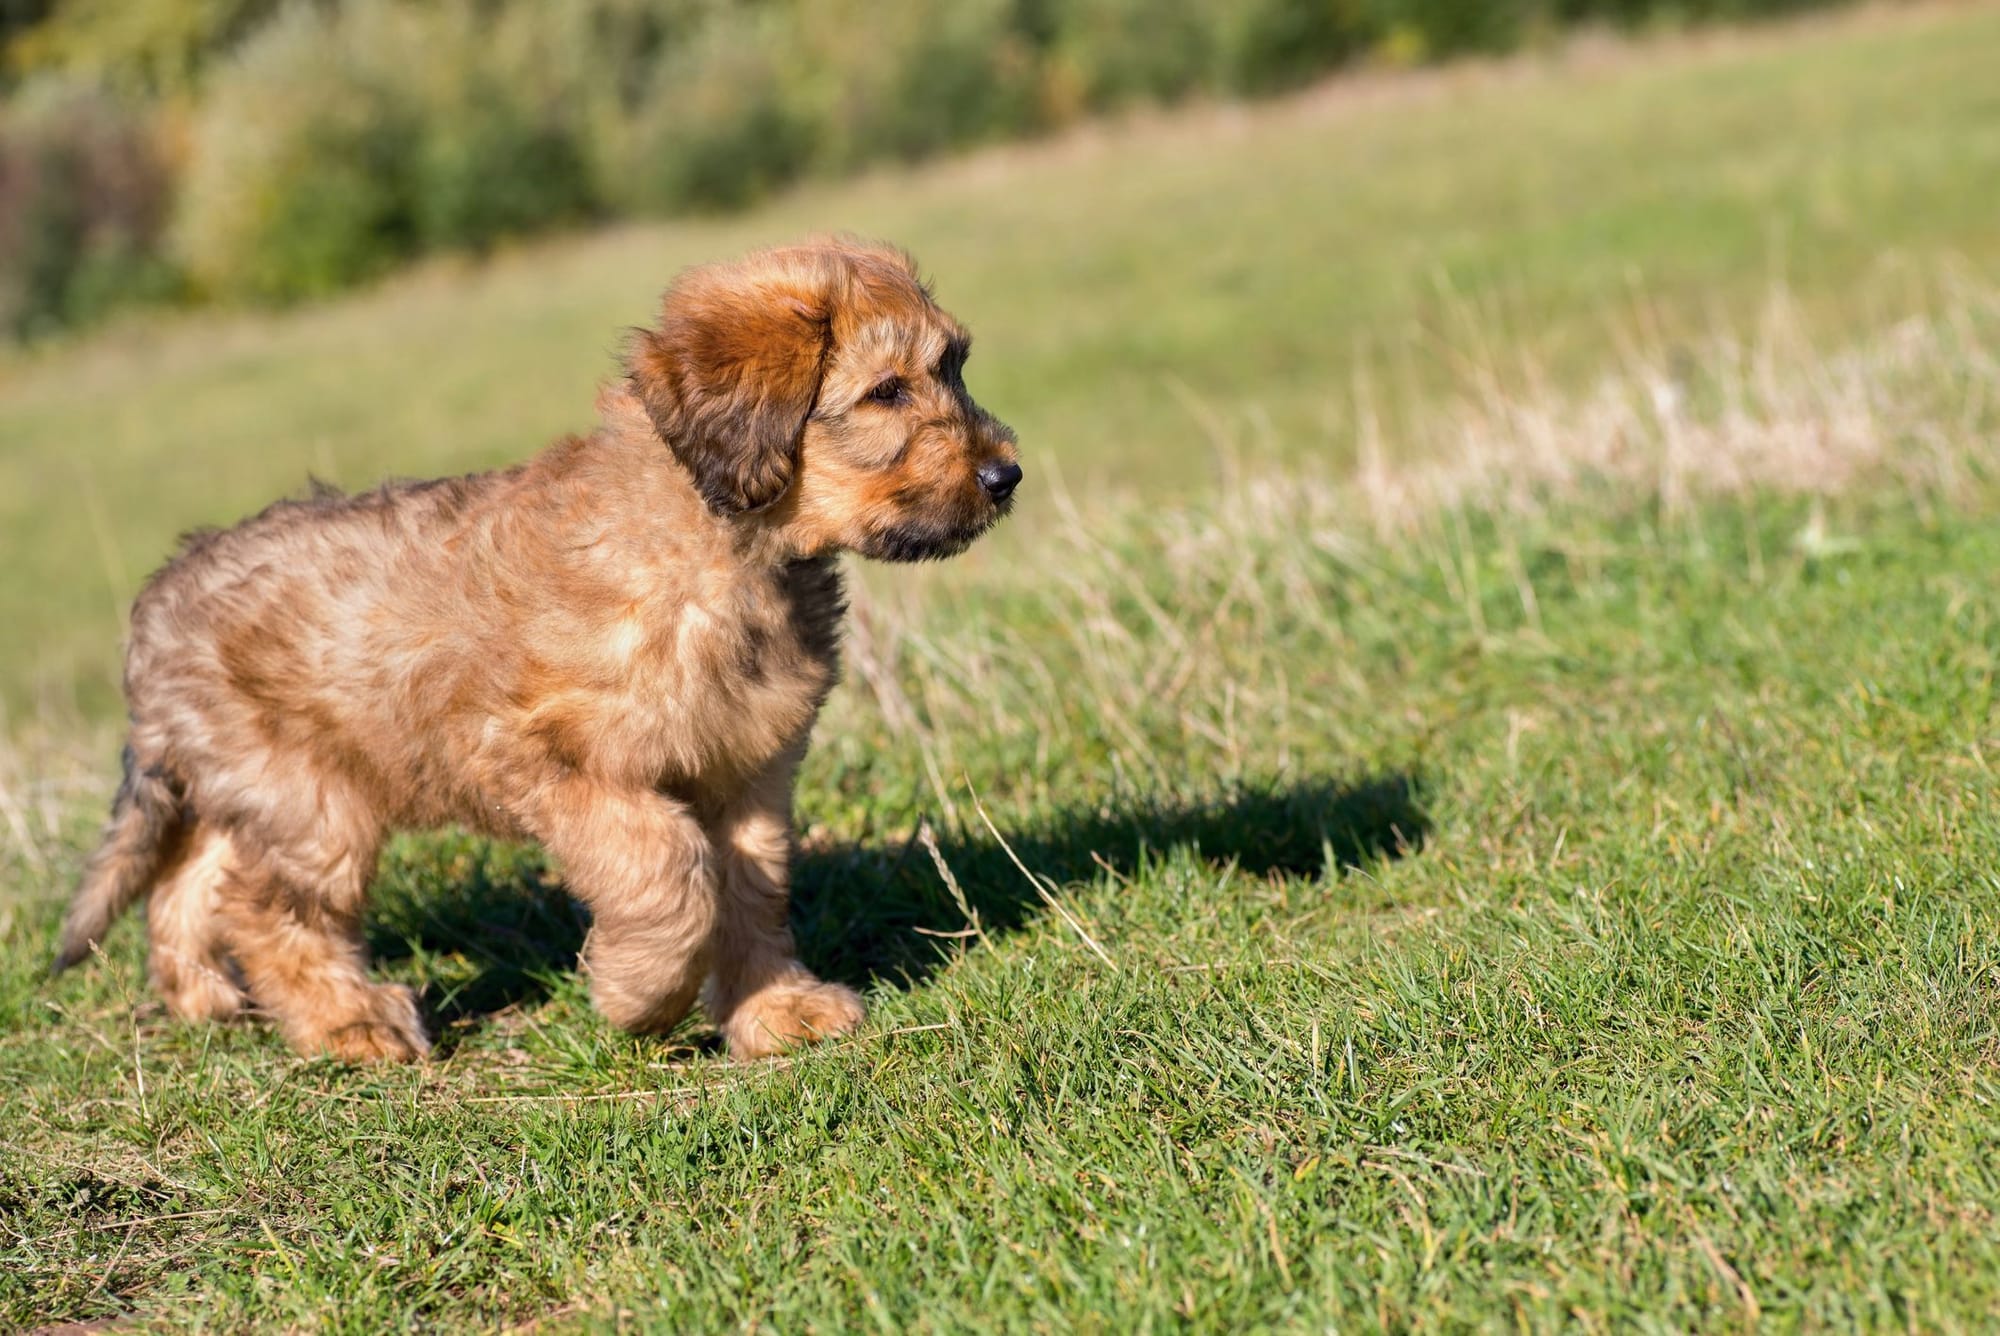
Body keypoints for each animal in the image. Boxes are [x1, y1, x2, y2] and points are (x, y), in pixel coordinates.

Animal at [54, 235, 1024, 1056]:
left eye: (955, 366)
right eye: (886, 391)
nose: (1005, 475)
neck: (718, 550)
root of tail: (161, 599)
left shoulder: (749, 768)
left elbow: (751, 890)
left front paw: (776, 1009)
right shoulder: (550, 759)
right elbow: (671, 872)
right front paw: (640, 996)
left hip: (256, 789)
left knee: (196, 880)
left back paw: (204, 996)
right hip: (312, 800)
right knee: (265, 908)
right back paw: (350, 1024)